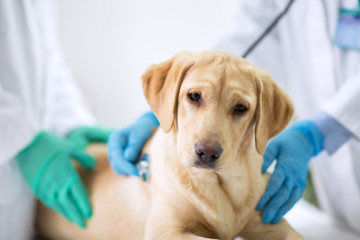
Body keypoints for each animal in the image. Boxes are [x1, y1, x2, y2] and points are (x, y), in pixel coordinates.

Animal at [36, 49, 302, 239]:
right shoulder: (166, 231)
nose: (207, 152)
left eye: (241, 108)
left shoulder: (269, 221)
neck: (218, 185)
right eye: (194, 96)